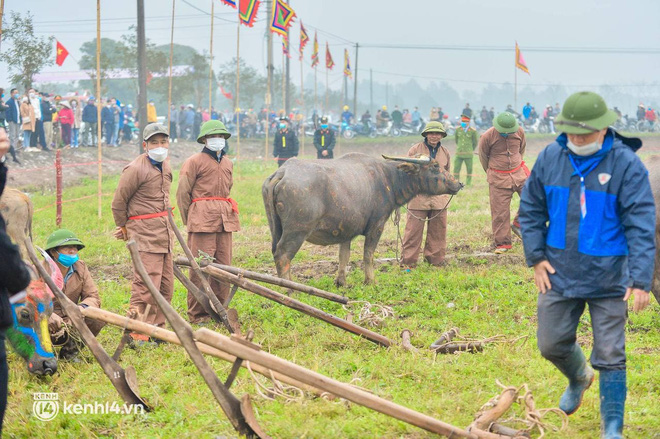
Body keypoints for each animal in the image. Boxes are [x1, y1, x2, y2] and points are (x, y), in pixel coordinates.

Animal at [262, 153, 464, 288]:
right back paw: (289, 289)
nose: (459, 183)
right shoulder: (376, 226)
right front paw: (370, 280)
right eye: (435, 166)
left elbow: (344, 256)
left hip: (275, 228)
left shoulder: (345, 231)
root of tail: (283, 172)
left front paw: (341, 282)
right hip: (297, 231)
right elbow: (368, 255)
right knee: (283, 255)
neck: (388, 178)